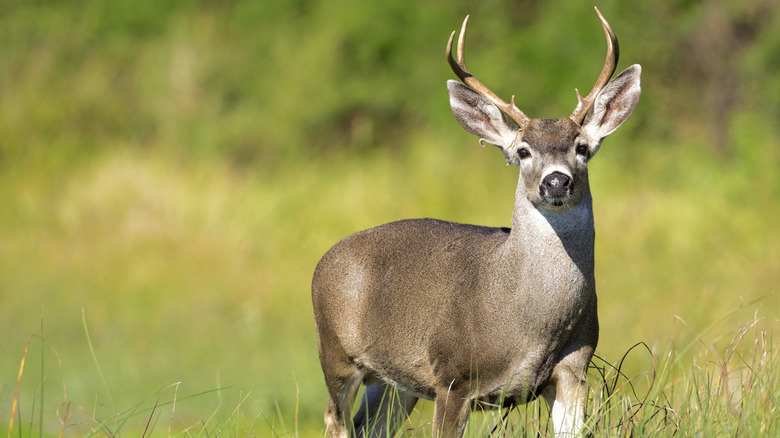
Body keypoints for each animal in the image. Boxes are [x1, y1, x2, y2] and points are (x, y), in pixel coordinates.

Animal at [310, 7, 640, 438]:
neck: (530, 322)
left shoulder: (573, 370)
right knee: (336, 418)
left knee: (370, 424)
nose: (556, 181)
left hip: (397, 381)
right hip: (336, 353)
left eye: (582, 148)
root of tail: (323, 260)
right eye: (522, 151)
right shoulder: (452, 373)